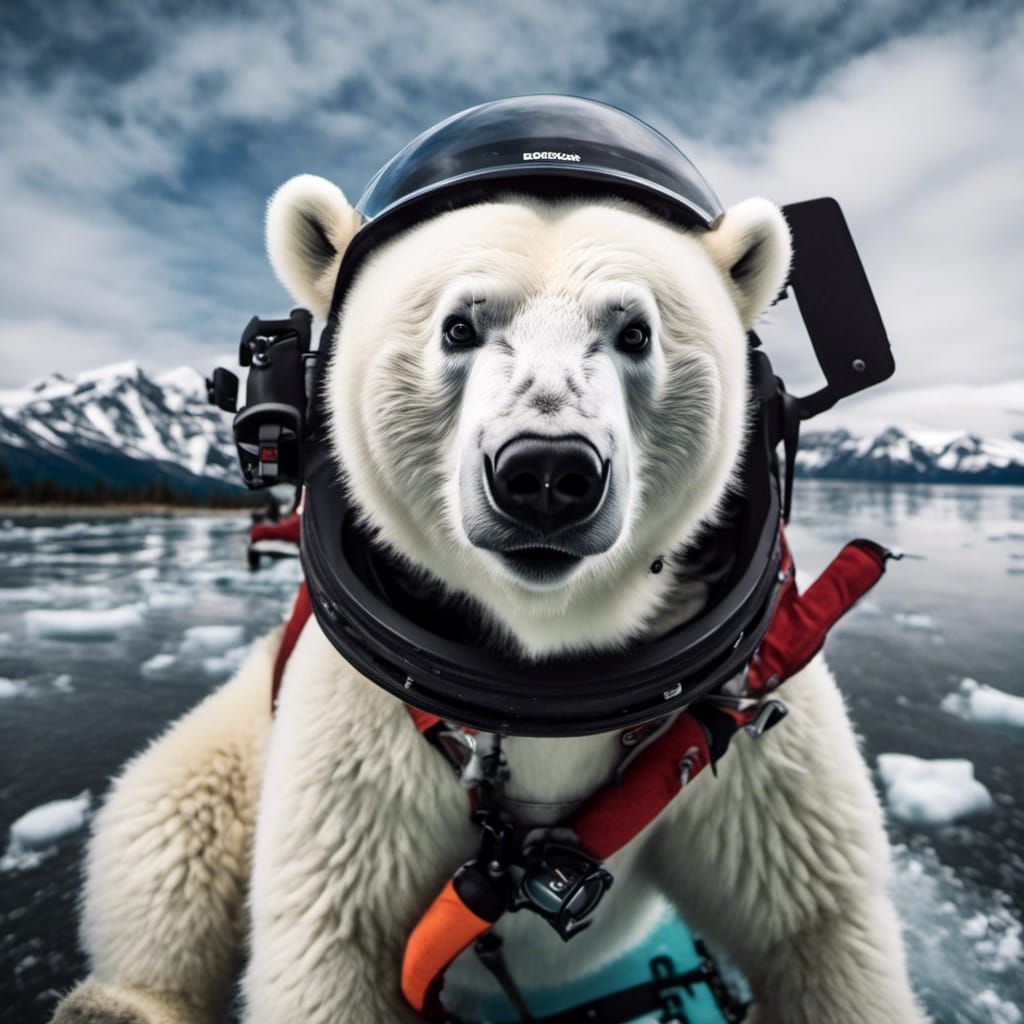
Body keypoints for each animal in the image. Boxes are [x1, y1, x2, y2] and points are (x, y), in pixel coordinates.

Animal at [52, 174, 924, 1024]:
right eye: (459, 326)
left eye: (635, 332)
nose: (547, 472)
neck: (544, 679)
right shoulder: (366, 744)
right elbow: (330, 933)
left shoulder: (747, 706)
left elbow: (815, 919)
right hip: (239, 732)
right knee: (166, 819)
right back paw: (114, 1005)